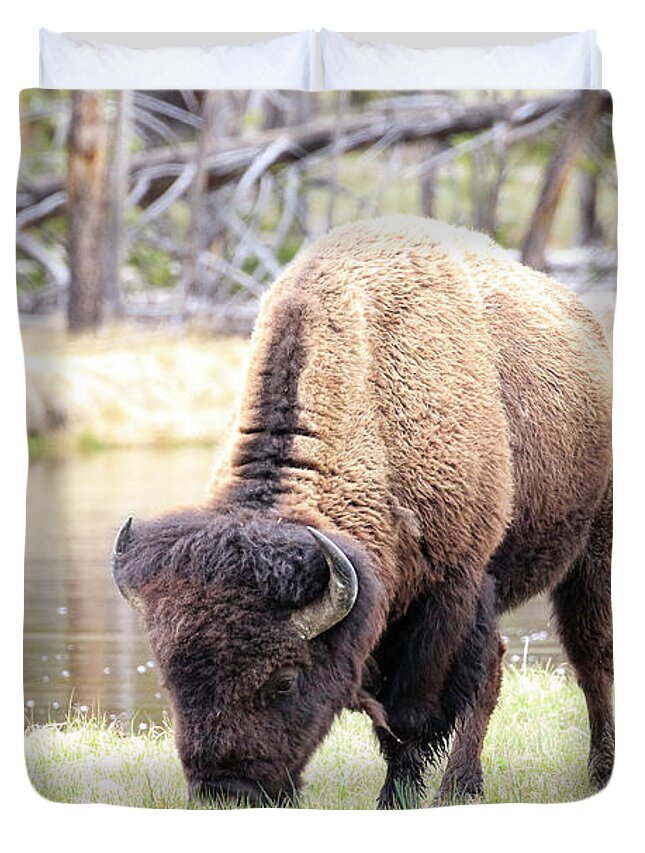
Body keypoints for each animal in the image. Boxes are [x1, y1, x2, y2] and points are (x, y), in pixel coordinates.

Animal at [112, 216, 612, 808]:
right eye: (171, 676)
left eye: (285, 679)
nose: (225, 790)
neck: (370, 407)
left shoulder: (448, 594)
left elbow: (410, 716)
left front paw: (396, 798)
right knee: (496, 667)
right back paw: (462, 786)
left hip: (593, 552)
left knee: (591, 657)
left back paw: (595, 770)